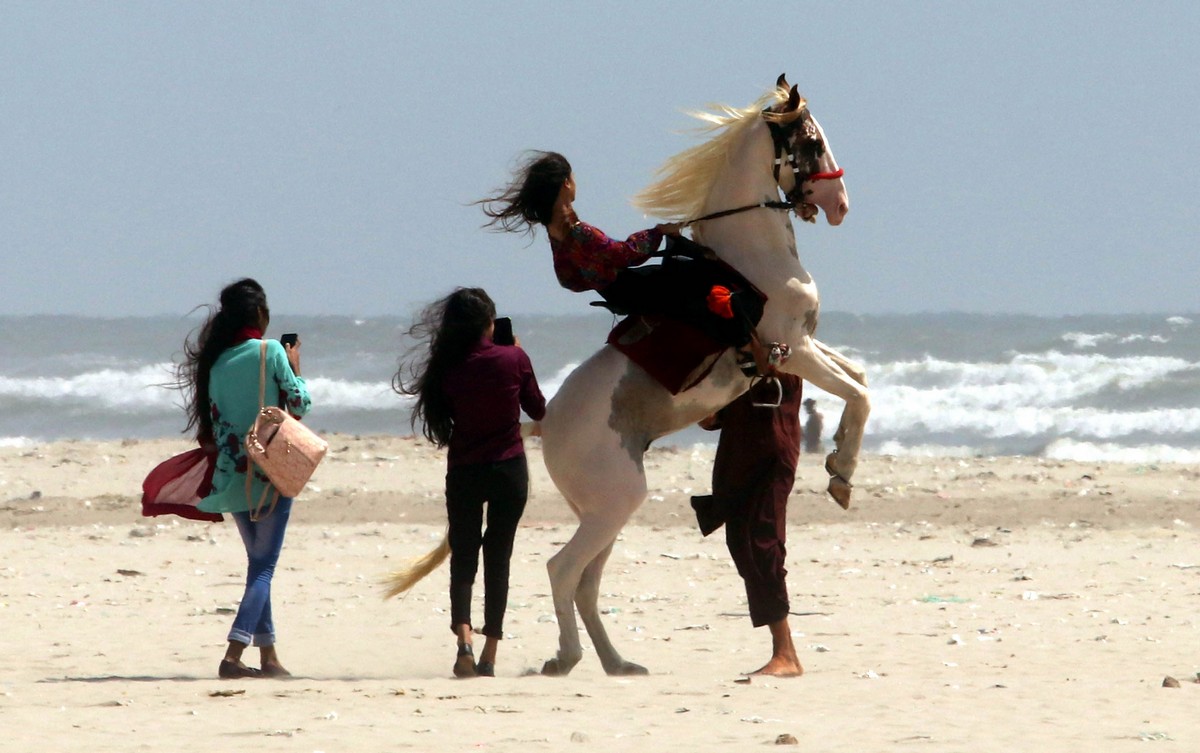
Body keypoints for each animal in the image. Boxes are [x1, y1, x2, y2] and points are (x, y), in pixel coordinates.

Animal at [540, 74, 868, 676]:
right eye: (811, 142)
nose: (840, 206)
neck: (753, 261)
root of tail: (543, 426)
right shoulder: (790, 352)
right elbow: (858, 392)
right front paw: (841, 473)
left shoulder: (804, 344)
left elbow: (858, 376)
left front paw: (839, 462)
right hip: (614, 503)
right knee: (563, 571)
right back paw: (569, 657)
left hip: (603, 511)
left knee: (586, 581)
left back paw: (617, 663)